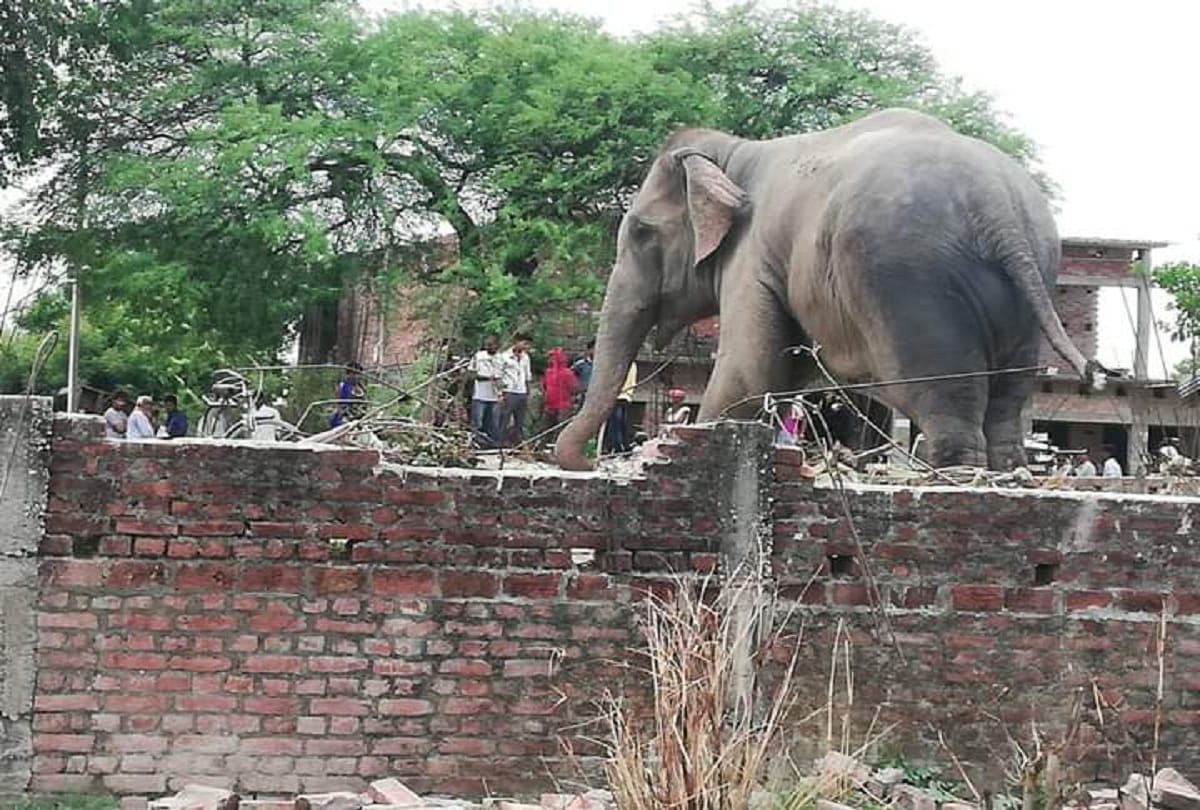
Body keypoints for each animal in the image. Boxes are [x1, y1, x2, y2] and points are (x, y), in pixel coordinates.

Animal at [554, 108, 1099, 472]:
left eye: (641, 232)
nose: (586, 464)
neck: (737, 151)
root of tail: (998, 207)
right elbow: (780, 374)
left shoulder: (752, 257)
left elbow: (748, 373)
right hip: (1030, 284)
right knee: (1007, 405)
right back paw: (1007, 470)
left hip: (912, 287)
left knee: (943, 403)